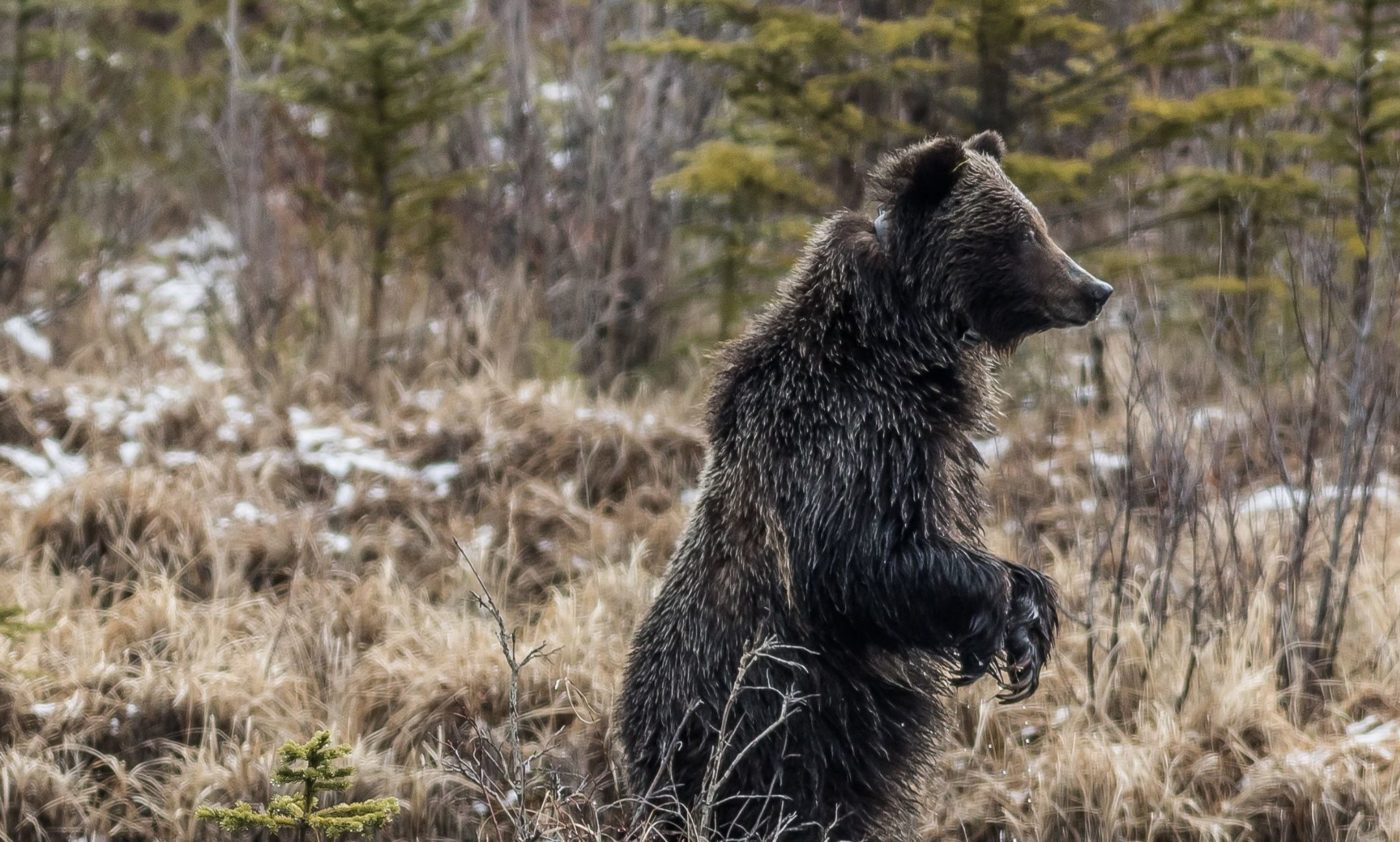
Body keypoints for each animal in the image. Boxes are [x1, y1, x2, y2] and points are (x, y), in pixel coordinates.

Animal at [618, 129, 1108, 834]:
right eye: (1021, 233)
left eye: (1037, 221)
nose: (1095, 289)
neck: (902, 338)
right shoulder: (848, 442)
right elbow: (855, 559)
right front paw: (996, 616)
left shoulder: (935, 454)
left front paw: (1030, 628)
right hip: (763, 731)